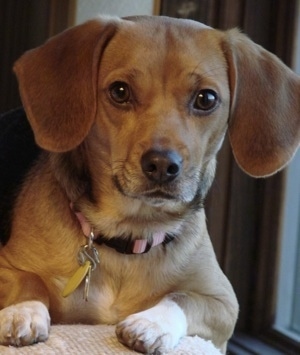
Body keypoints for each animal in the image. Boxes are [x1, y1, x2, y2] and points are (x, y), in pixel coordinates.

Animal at [0, 14, 300, 355]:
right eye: (119, 91)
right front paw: (23, 311)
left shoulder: (222, 300)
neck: (131, 233)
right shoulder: (6, 265)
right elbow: (29, 280)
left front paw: (151, 323)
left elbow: (181, 297)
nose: (162, 165)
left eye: (206, 99)